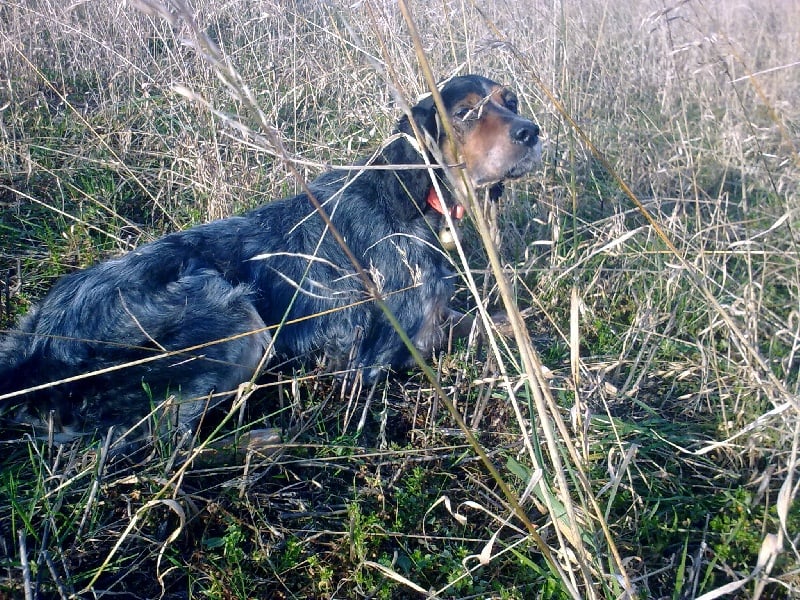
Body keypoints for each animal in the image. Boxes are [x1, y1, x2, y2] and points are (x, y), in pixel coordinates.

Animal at [0, 74, 540, 441]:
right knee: (163, 443)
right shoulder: (381, 354)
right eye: (465, 114)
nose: (531, 132)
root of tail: (35, 350)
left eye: (510, 101)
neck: (414, 194)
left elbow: (498, 319)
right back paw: (266, 439)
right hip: (234, 314)